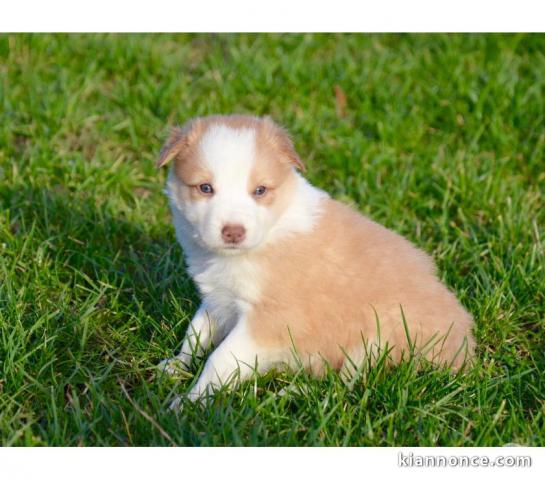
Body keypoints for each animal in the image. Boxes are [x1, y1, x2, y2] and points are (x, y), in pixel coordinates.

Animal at [155, 114, 474, 404]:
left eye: (260, 190)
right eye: (205, 188)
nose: (233, 232)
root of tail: (467, 351)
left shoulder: (268, 319)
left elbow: (220, 358)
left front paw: (189, 402)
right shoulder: (219, 299)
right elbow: (196, 332)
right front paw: (173, 367)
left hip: (378, 336)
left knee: (347, 386)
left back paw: (290, 393)